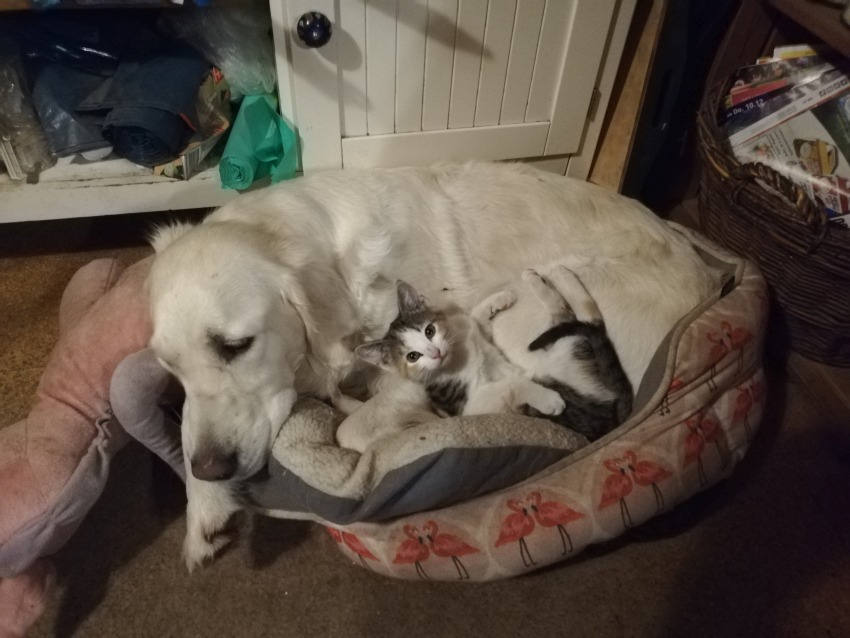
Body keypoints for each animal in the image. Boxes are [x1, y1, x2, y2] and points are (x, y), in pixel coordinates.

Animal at [354, 265, 633, 442]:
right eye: (412, 357)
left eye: (429, 331)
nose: (435, 352)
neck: (460, 357)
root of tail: (613, 410)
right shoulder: (471, 407)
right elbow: (509, 385)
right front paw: (547, 399)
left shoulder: (480, 339)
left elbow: (476, 317)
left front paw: (501, 298)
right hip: (558, 356)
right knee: (583, 320)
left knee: (581, 317)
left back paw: (554, 275)